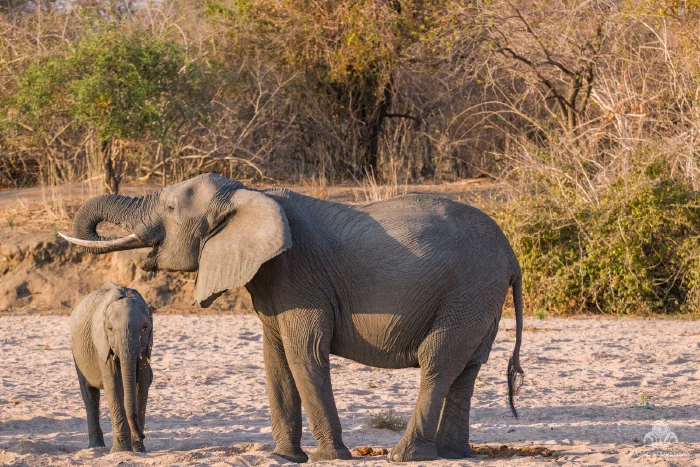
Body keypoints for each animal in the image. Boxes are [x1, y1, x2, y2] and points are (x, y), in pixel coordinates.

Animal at [70, 282, 153, 453]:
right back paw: (96, 446)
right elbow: (113, 384)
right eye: (110, 328)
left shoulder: (145, 347)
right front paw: (121, 451)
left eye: (145, 327)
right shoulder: (102, 344)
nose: (143, 435)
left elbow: (142, 384)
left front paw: (139, 450)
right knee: (90, 396)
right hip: (77, 352)